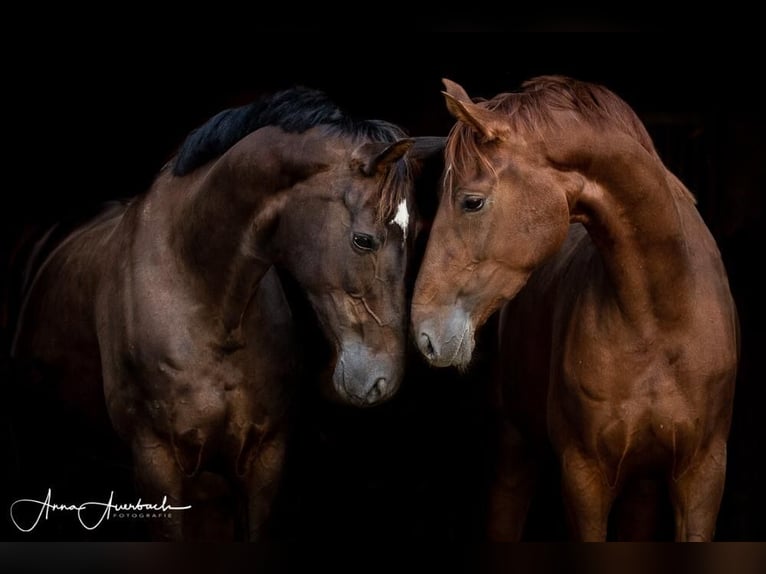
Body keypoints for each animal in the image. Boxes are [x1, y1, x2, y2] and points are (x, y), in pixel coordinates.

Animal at [9, 88, 444, 544]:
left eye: (416, 235)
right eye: (363, 240)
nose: (381, 381)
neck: (203, 295)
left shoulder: (263, 460)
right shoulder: (156, 462)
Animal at [414, 77, 744, 544]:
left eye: (472, 202)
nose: (424, 333)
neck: (659, 319)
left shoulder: (703, 474)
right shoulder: (584, 475)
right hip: (515, 446)